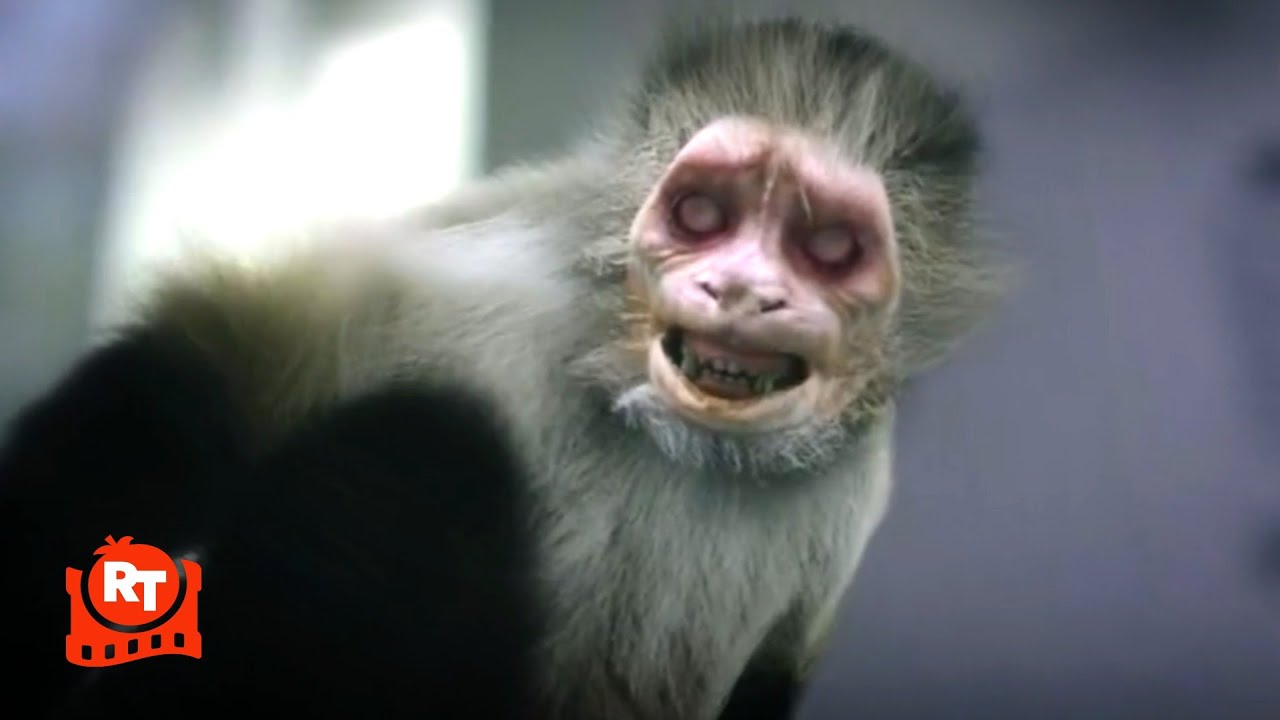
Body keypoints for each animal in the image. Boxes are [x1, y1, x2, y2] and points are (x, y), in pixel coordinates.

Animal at [0, 16, 1001, 720]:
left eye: (826, 246)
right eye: (703, 215)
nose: (742, 289)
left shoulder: (852, 492)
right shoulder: (500, 295)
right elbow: (197, 367)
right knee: (428, 450)